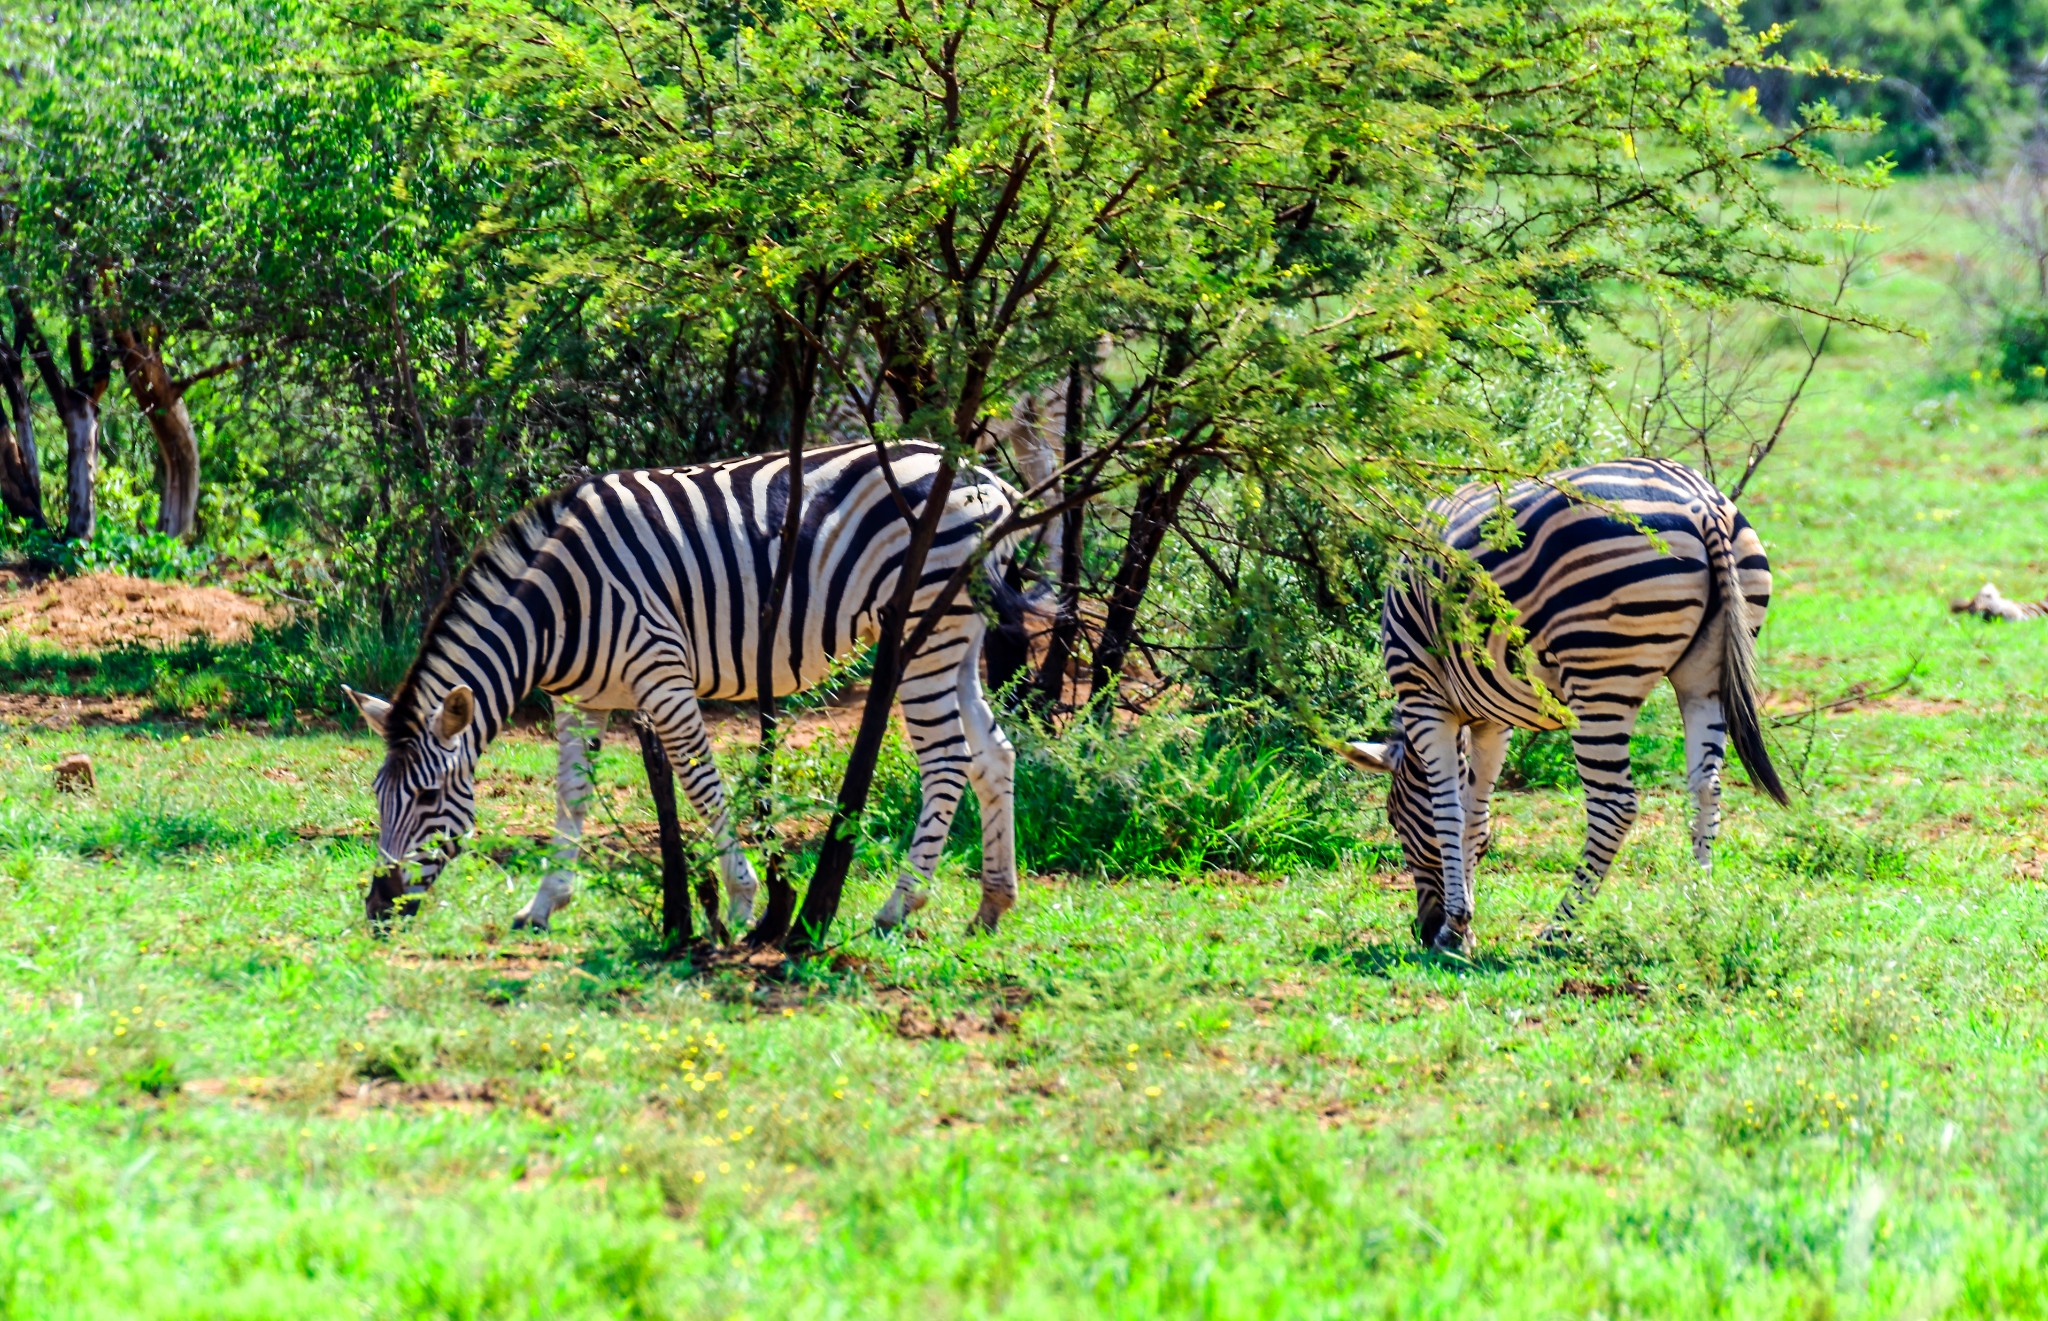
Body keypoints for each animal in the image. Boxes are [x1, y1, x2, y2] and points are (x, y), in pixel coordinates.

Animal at [1335, 458, 1785, 954]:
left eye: (1394, 820)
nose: (1423, 928)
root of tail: (1702, 503)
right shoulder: (1493, 719)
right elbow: (1476, 815)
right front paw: (1462, 927)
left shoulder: (1422, 694)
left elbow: (1448, 811)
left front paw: (1454, 927)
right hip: (1705, 676)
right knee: (1707, 787)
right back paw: (1698, 907)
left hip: (1599, 672)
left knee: (1614, 806)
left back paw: (1558, 928)